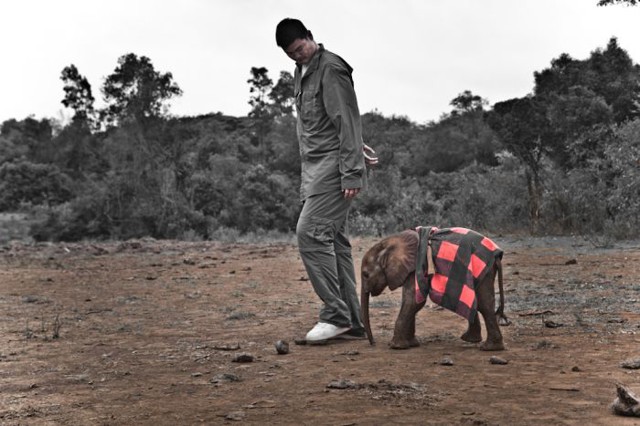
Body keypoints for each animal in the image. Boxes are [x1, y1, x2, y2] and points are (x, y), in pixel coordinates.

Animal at [360, 226, 510, 350]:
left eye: (366, 275)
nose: (373, 343)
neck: (388, 243)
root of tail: (497, 254)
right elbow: (412, 300)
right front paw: (412, 344)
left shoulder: (415, 264)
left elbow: (412, 301)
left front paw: (395, 347)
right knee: (482, 301)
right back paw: (474, 341)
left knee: (484, 304)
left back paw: (488, 348)